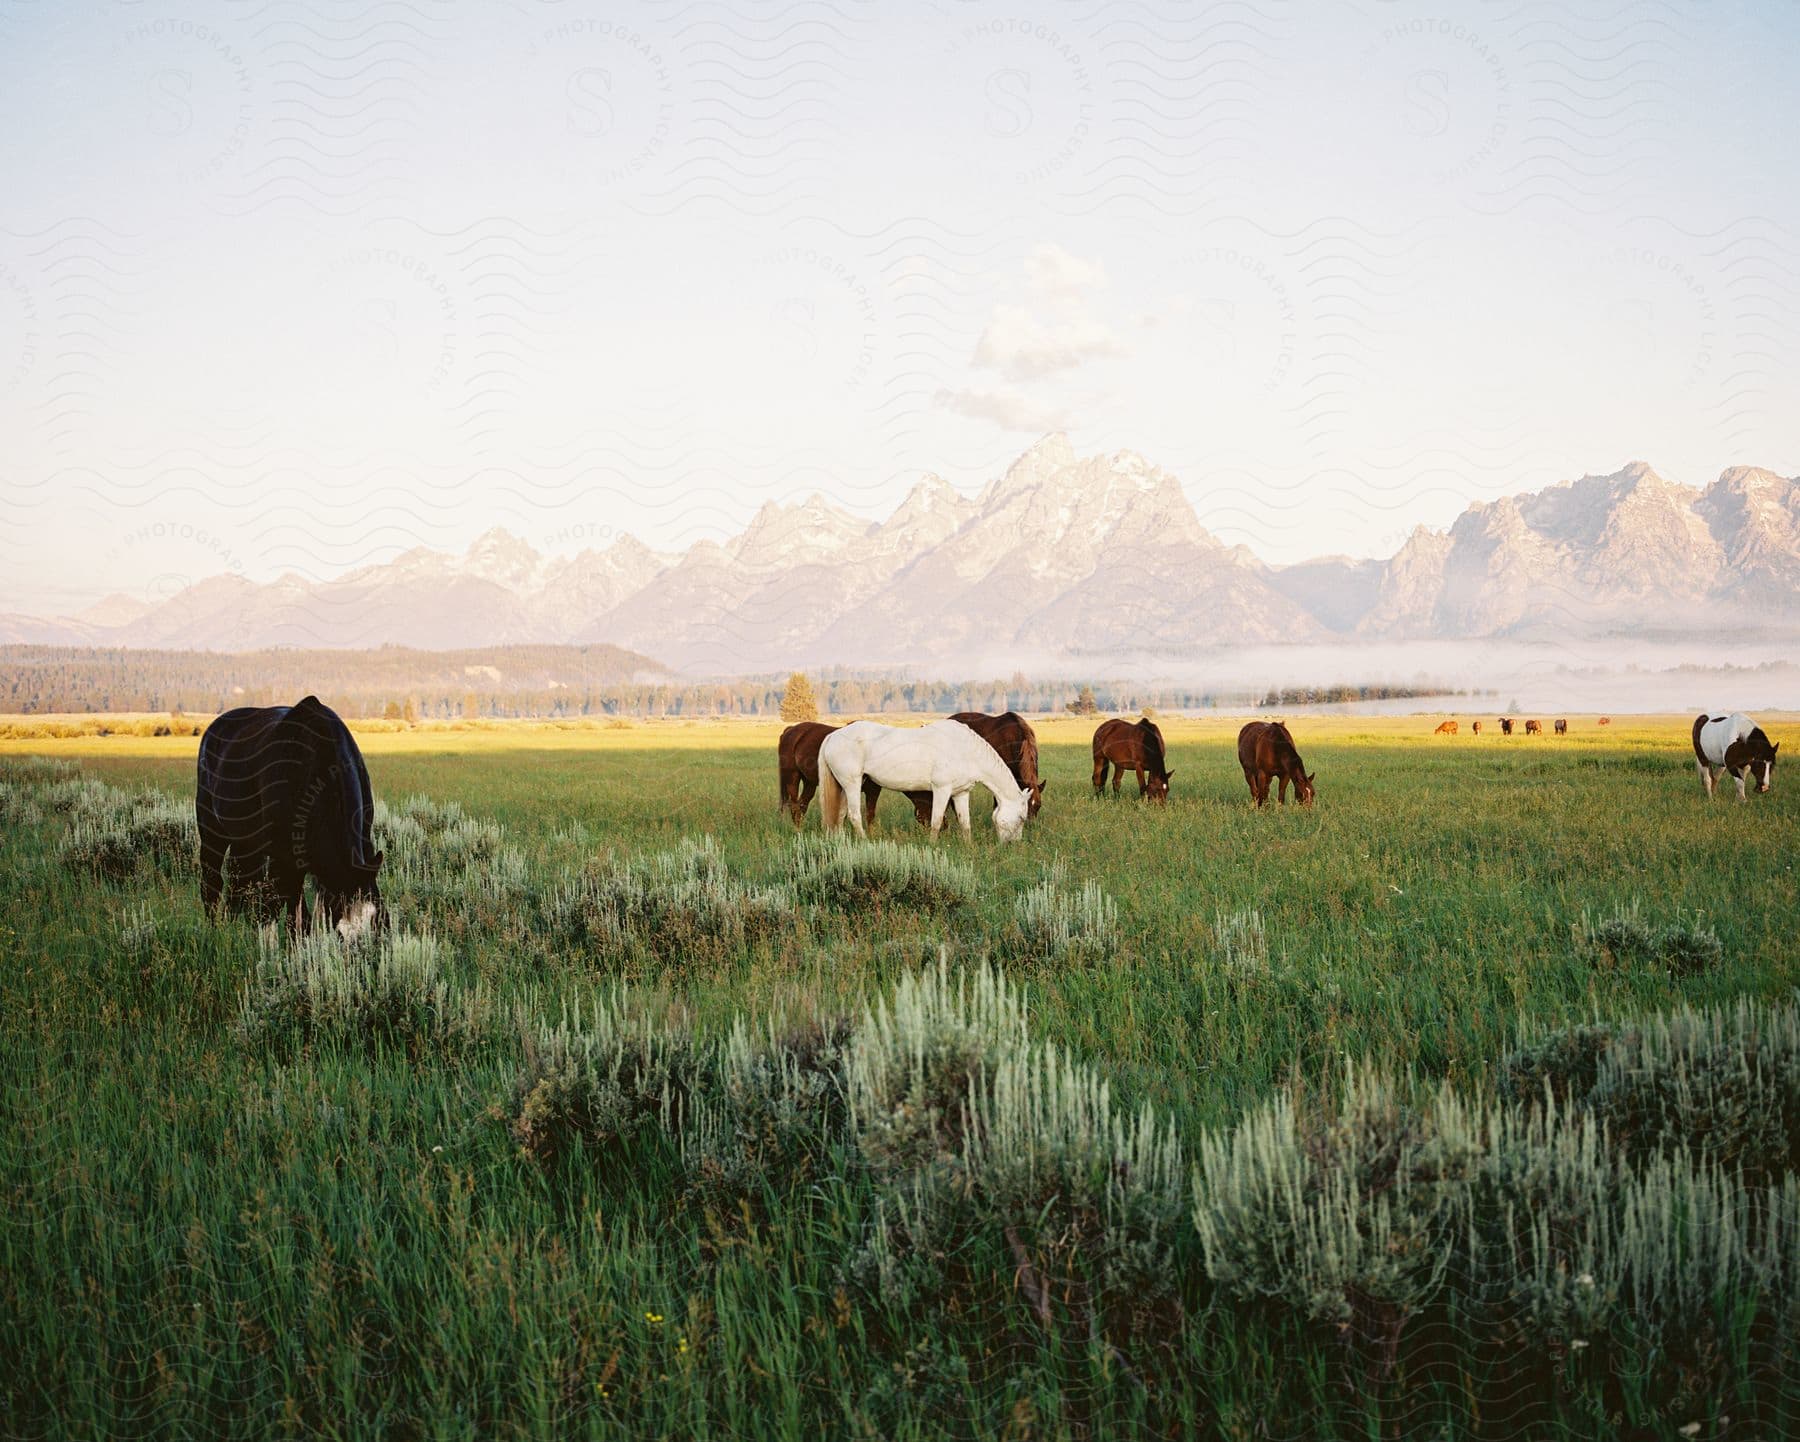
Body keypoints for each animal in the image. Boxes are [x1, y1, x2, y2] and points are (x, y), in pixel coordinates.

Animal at [198, 694, 385, 936]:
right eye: (340, 931)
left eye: (376, 920)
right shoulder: (286, 858)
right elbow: (293, 916)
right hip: (211, 830)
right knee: (212, 882)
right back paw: (215, 931)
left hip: (245, 842)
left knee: (240, 884)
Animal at [824, 716, 1036, 838]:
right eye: (1021, 818)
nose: (1013, 844)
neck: (964, 749)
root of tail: (834, 735)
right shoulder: (941, 790)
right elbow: (936, 822)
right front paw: (933, 846)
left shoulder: (961, 793)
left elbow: (965, 824)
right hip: (852, 784)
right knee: (853, 816)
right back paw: (864, 841)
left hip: (844, 786)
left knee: (840, 814)